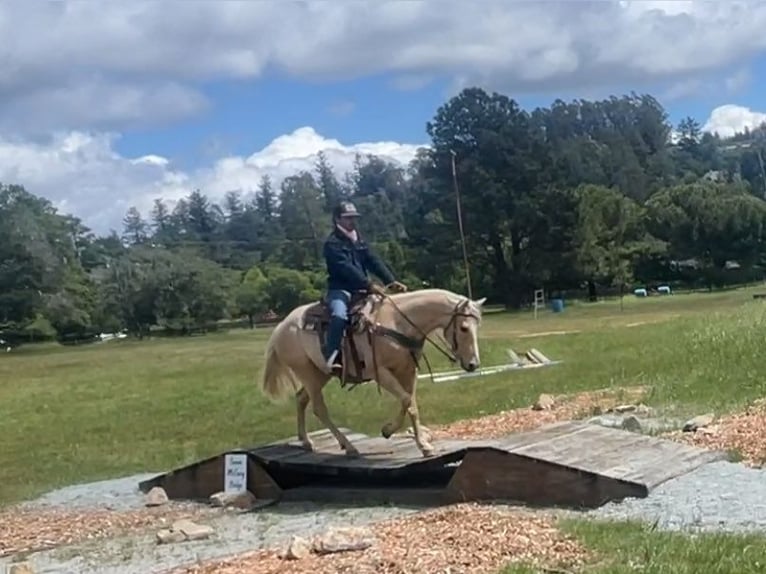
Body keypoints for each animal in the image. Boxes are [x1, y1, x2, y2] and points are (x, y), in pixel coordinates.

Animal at [258, 290, 486, 462]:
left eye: (477, 327)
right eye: (464, 328)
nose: (473, 364)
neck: (396, 323)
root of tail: (281, 327)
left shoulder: (407, 371)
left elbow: (411, 404)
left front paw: (421, 443)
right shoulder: (381, 373)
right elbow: (406, 401)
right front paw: (391, 431)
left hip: (319, 373)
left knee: (301, 399)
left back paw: (306, 441)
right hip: (307, 373)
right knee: (319, 409)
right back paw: (349, 447)